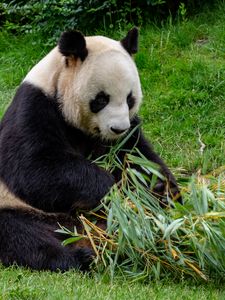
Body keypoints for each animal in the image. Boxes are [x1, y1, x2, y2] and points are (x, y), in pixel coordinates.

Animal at [0, 28, 181, 272]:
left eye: (130, 98)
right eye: (101, 99)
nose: (118, 129)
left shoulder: (126, 133)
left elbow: (137, 157)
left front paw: (162, 191)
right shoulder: (34, 106)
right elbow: (34, 168)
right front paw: (113, 190)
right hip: (17, 208)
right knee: (22, 235)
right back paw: (80, 257)